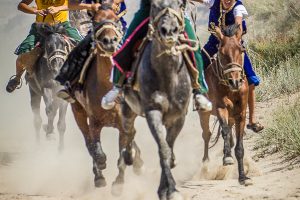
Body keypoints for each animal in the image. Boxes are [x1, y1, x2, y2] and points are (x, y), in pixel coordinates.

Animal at [26, 23, 74, 151]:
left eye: (64, 44)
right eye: (48, 45)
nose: (58, 67)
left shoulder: (63, 93)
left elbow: (61, 123)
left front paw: (61, 150)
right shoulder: (46, 87)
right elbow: (50, 110)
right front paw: (50, 133)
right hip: (34, 92)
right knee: (37, 120)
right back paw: (39, 143)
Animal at [69, 5, 144, 195]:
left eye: (116, 20)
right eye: (95, 21)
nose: (110, 41)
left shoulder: (124, 123)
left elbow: (124, 154)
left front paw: (118, 184)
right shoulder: (94, 121)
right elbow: (97, 150)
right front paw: (101, 169)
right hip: (78, 112)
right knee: (88, 143)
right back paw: (99, 176)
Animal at [120, 0, 189, 198]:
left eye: (180, 4)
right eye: (154, 6)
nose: (169, 30)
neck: (167, 76)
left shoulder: (179, 117)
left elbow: (169, 148)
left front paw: (166, 188)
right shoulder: (153, 112)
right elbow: (163, 149)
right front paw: (171, 189)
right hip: (127, 109)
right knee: (128, 131)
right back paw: (130, 156)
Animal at [199, 24, 253, 186]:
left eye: (241, 50)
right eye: (222, 53)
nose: (235, 81)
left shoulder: (241, 113)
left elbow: (239, 147)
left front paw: (243, 177)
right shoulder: (221, 108)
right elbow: (224, 131)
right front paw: (228, 158)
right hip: (204, 113)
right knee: (207, 134)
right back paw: (206, 163)